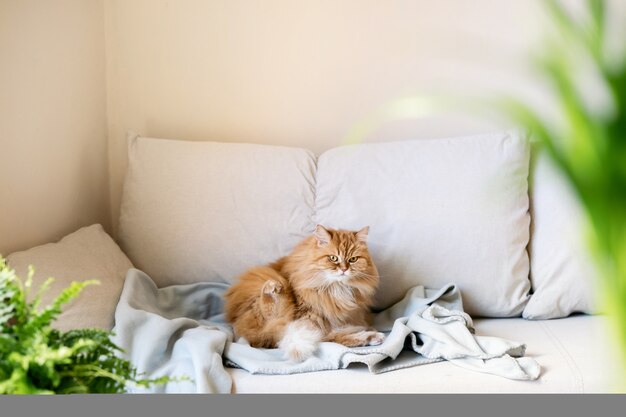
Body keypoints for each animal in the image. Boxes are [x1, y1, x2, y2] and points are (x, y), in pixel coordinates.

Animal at [222, 224, 382, 360]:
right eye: (333, 258)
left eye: (353, 259)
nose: (344, 269)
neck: (336, 288)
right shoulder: (311, 317)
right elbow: (333, 336)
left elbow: (338, 334)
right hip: (270, 294)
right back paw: (272, 287)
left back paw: (372, 337)